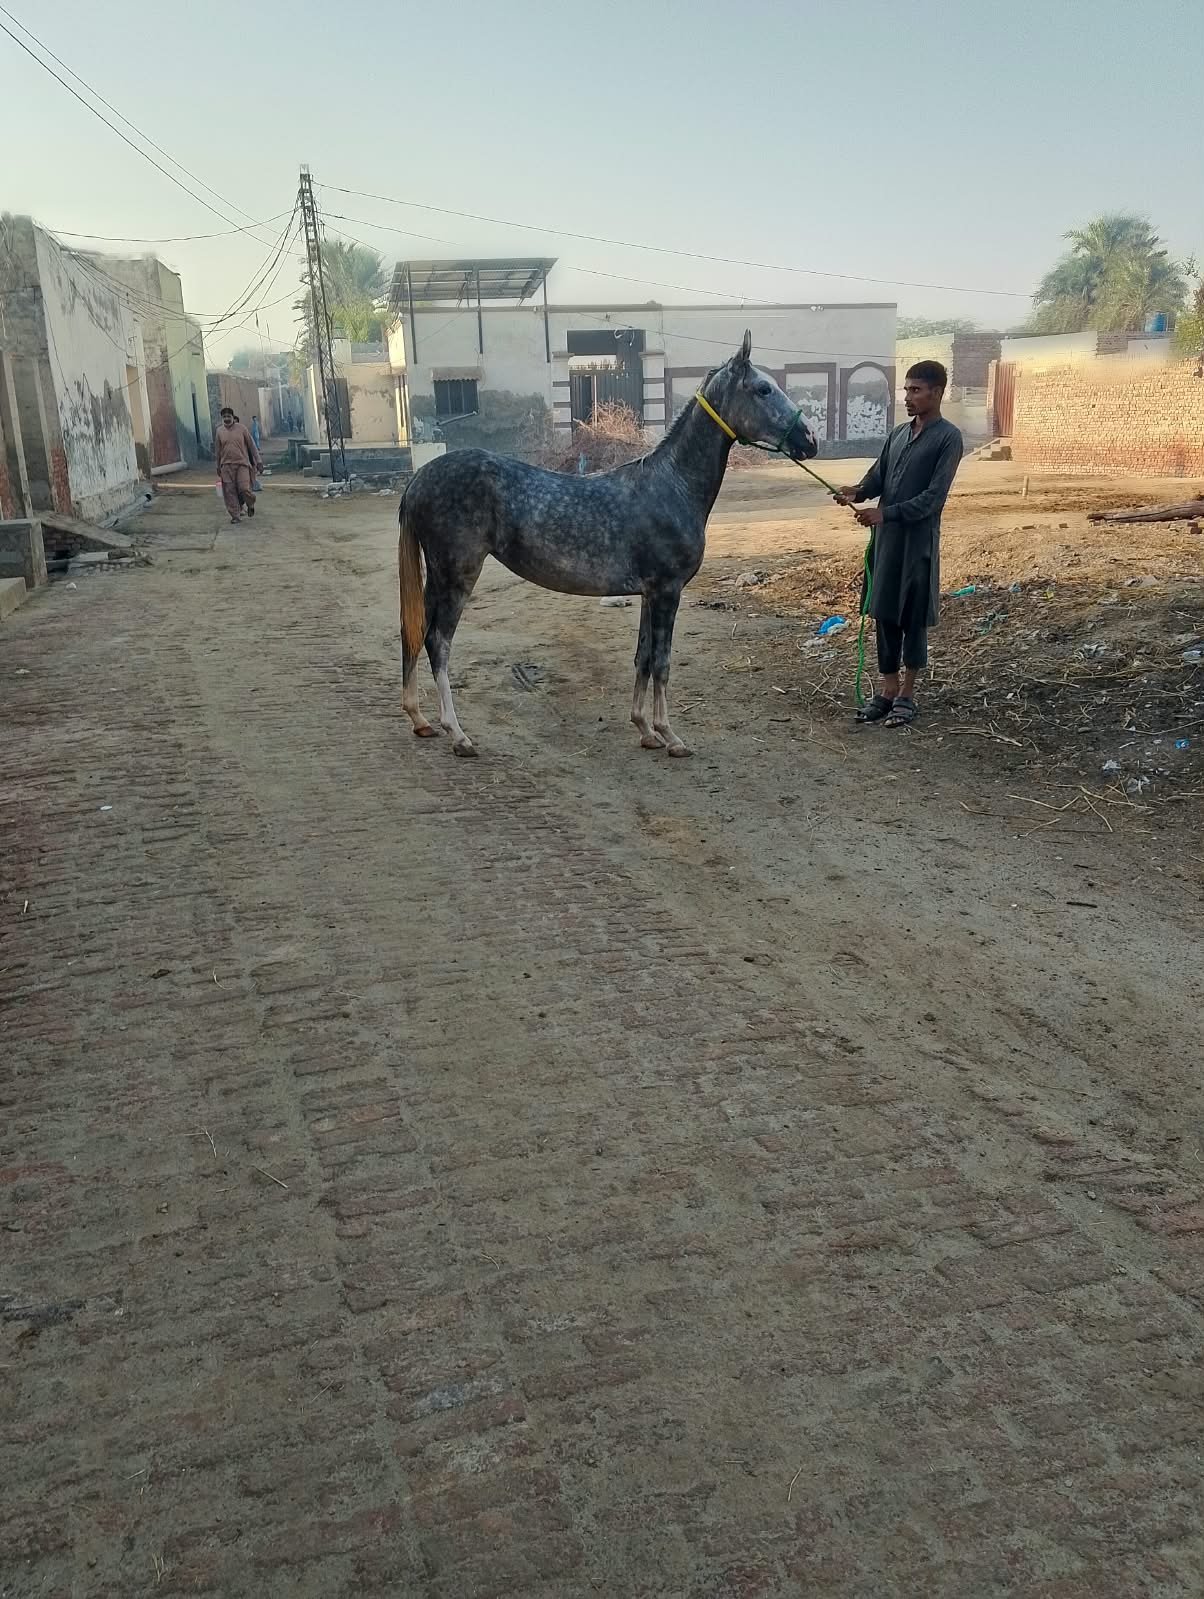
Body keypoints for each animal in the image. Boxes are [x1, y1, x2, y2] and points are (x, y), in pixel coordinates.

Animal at [397, 331, 818, 758]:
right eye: (763, 389)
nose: (810, 440)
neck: (673, 485)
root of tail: (419, 478)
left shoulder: (650, 593)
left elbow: (643, 657)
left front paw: (645, 730)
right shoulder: (667, 590)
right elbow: (662, 661)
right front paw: (670, 735)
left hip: (438, 578)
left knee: (414, 632)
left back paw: (420, 720)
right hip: (457, 575)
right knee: (438, 642)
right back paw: (457, 734)